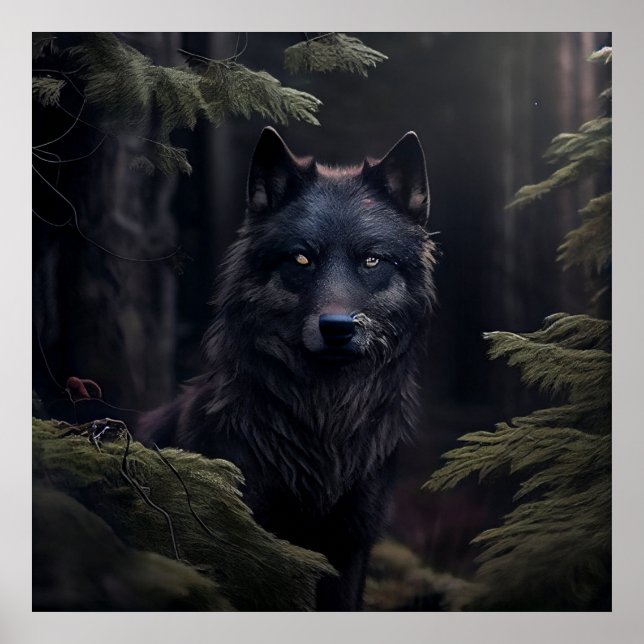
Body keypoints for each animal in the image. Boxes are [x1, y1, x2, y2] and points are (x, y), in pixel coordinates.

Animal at [135, 127, 438, 610]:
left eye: (372, 260)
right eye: (301, 259)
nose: (337, 328)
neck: (323, 424)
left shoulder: (351, 546)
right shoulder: (246, 539)